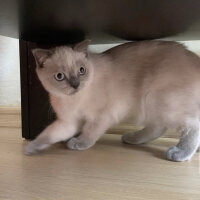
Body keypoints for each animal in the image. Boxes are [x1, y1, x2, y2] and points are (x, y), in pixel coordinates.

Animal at [25, 39, 200, 162]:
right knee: (157, 128)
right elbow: (48, 134)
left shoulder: (102, 115)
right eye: (60, 76)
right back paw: (132, 138)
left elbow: (90, 132)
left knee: (192, 125)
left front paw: (79, 143)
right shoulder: (69, 122)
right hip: (152, 106)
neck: (74, 100)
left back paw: (179, 153)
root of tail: (195, 59)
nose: (76, 85)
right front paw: (31, 148)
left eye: (82, 70)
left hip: (157, 101)